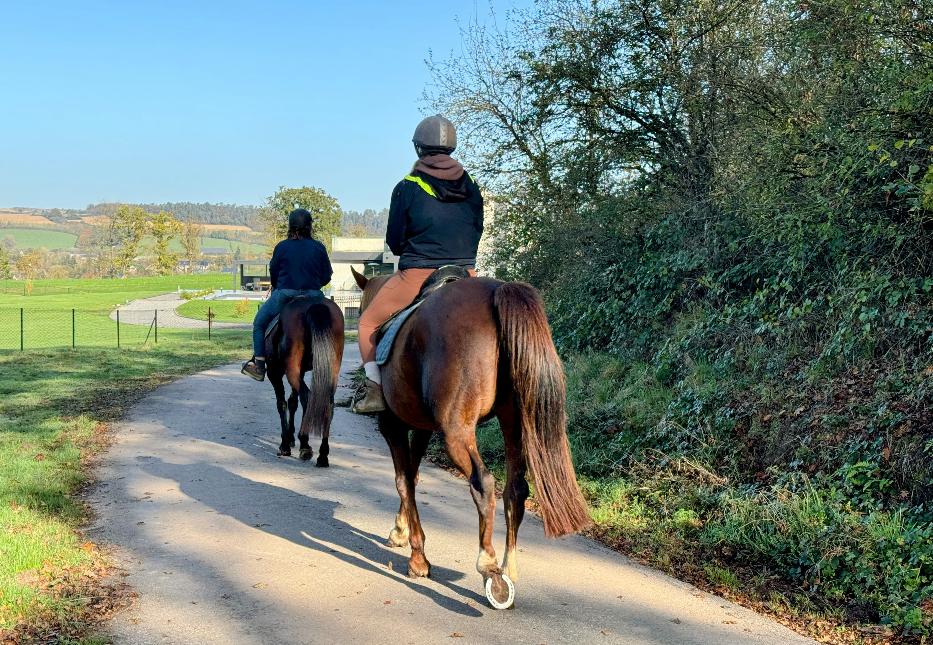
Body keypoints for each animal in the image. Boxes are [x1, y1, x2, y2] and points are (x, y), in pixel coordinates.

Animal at [264, 294, 344, 466]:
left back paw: (305, 445)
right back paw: (322, 455)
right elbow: (293, 402)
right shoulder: (299, 373)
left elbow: (282, 403)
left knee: (307, 398)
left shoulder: (274, 373)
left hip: (290, 369)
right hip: (331, 370)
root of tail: (314, 304)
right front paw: (291, 437)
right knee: (327, 402)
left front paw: (285, 443)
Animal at [352, 268, 588, 608]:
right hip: (513, 420)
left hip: (457, 432)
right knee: (516, 488)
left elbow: (403, 480)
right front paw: (401, 531)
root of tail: (498, 291)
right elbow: (413, 475)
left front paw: (418, 558)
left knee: (483, 483)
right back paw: (508, 568)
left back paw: (489, 568)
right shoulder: (422, 427)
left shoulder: (392, 424)